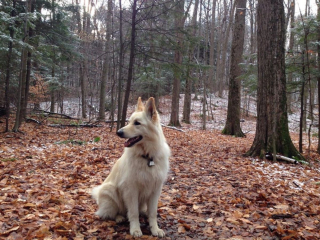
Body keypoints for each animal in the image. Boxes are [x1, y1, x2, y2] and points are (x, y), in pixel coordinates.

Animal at [91, 96, 171, 237]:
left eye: (137, 123)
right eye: (129, 122)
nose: (118, 132)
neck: (147, 157)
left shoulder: (155, 190)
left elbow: (152, 213)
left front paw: (155, 229)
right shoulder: (131, 190)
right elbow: (133, 213)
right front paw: (135, 229)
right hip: (110, 190)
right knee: (112, 213)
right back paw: (119, 217)